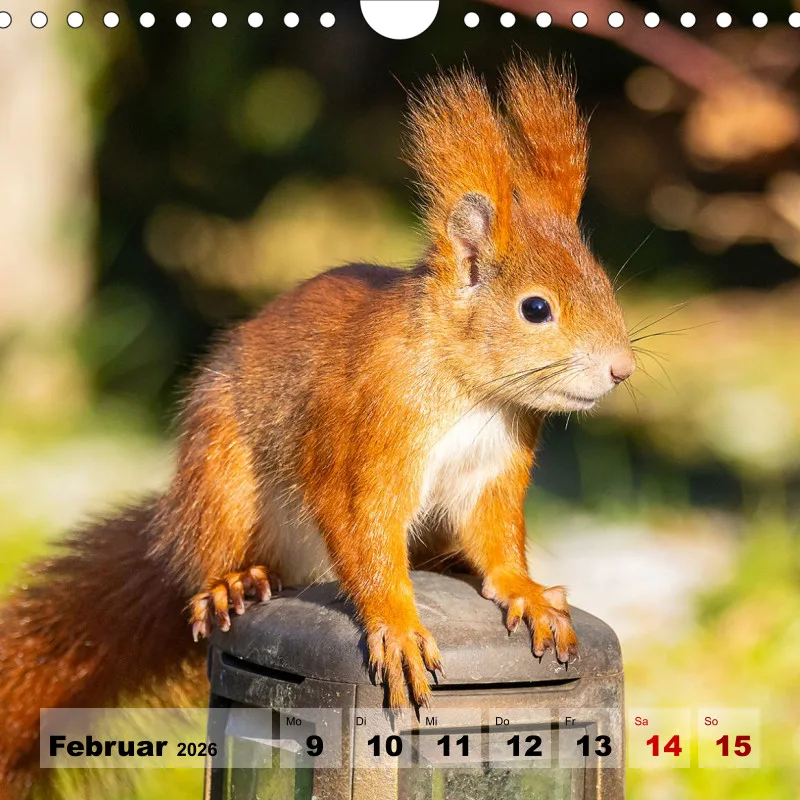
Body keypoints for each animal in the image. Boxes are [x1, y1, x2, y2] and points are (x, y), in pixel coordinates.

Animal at [0, 58, 634, 798]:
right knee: (212, 553)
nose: (622, 368)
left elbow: (497, 537)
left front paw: (527, 592)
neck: (472, 395)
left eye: (605, 285)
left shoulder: (493, 470)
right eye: (536, 309)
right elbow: (363, 530)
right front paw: (397, 625)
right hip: (221, 479)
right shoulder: (368, 432)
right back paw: (233, 582)